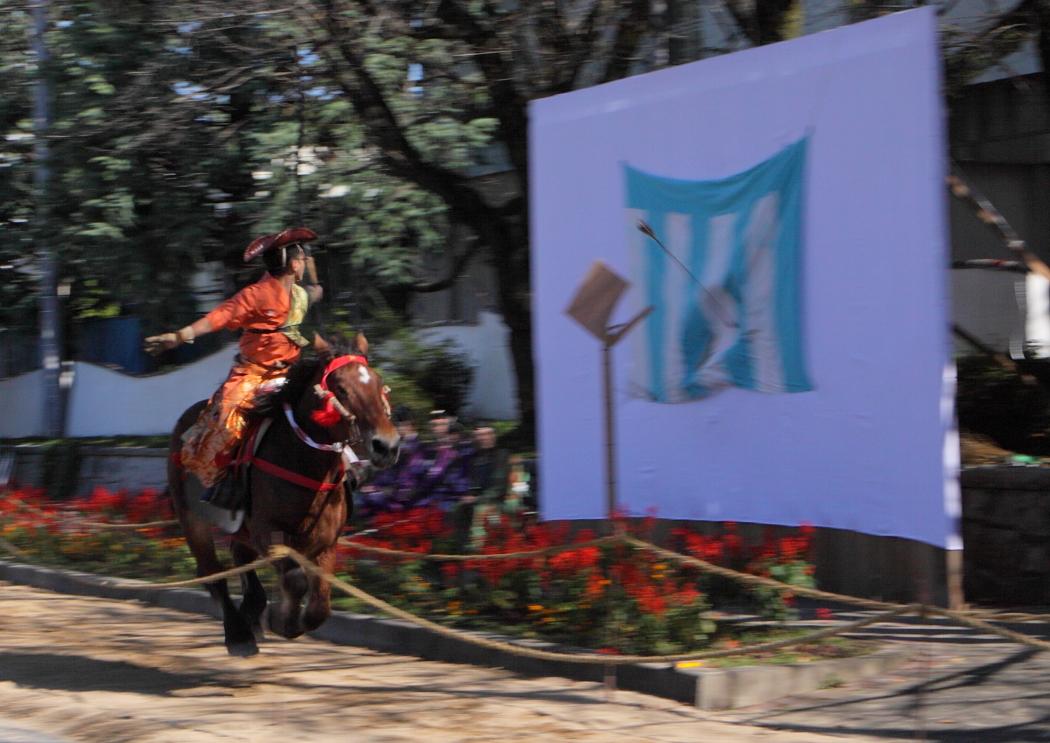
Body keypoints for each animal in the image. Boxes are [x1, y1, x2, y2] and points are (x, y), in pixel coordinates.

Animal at [170, 331, 398, 654]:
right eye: (341, 388)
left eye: (379, 384)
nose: (386, 445)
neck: (304, 464)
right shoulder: (269, 532)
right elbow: (295, 580)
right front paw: (279, 620)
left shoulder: (326, 542)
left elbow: (320, 606)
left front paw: (277, 616)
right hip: (192, 518)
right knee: (212, 572)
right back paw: (239, 634)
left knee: (239, 553)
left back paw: (252, 611)